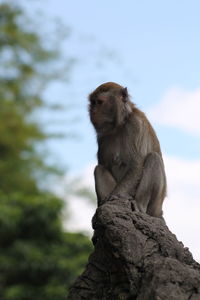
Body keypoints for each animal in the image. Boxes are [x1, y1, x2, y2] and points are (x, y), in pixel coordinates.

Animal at [88, 82, 166, 218]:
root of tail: (159, 212)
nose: (92, 111)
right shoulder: (102, 137)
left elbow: (137, 165)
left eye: (99, 102)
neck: (120, 125)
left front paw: (114, 196)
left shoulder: (135, 125)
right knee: (99, 169)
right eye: (92, 103)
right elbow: (104, 165)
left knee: (154, 159)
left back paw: (139, 205)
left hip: (155, 203)